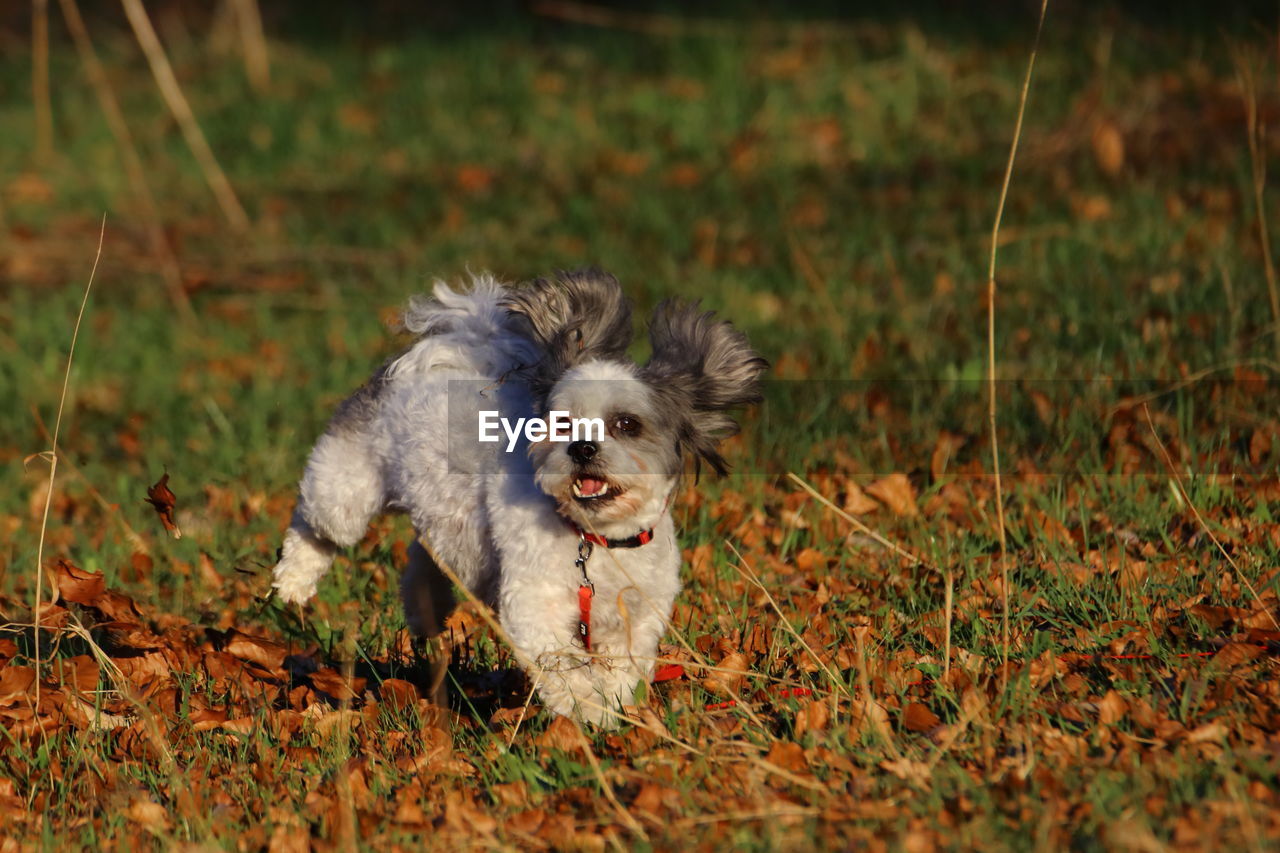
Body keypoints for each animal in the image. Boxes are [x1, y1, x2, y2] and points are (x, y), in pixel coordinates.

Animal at [271, 268, 762, 722]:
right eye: (562, 422)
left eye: (626, 424)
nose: (582, 447)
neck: (594, 539)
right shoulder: (535, 601)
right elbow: (565, 667)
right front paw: (590, 712)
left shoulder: (638, 613)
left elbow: (624, 664)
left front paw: (615, 703)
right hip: (344, 490)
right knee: (316, 525)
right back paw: (293, 582)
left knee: (422, 560)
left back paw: (425, 609)